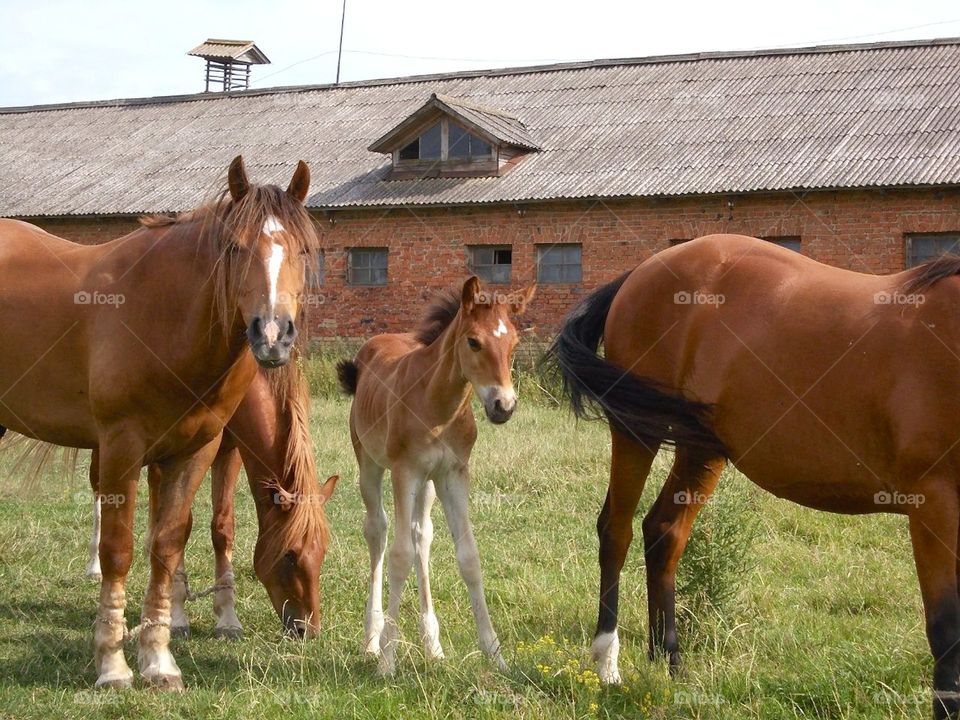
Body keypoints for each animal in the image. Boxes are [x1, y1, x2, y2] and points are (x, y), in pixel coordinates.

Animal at [81, 366, 338, 640]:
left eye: (322, 551)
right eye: (290, 555)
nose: (307, 630)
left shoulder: (229, 452)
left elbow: (222, 528)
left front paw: (228, 619)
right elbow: (181, 528)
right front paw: (177, 616)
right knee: (100, 490)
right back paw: (95, 567)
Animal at [336, 278, 532, 676]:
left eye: (514, 343)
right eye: (473, 341)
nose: (503, 406)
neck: (437, 403)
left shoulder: (453, 474)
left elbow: (468, 558)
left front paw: (496, 655)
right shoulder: (405, 471)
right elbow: (398, 557)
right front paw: (387, 659)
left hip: (427, 485)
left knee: (421, 536)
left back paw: (432, 645)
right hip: (370, 465)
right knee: (378, 531)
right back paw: (371, 639)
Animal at [544, 233, 960, 716]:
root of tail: (642, 271)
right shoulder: (932, 503)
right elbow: (946, 630)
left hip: (702, 448)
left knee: (664, 532)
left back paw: (669, 662)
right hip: (635, 431)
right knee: (617, 530)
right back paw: (608, 665)